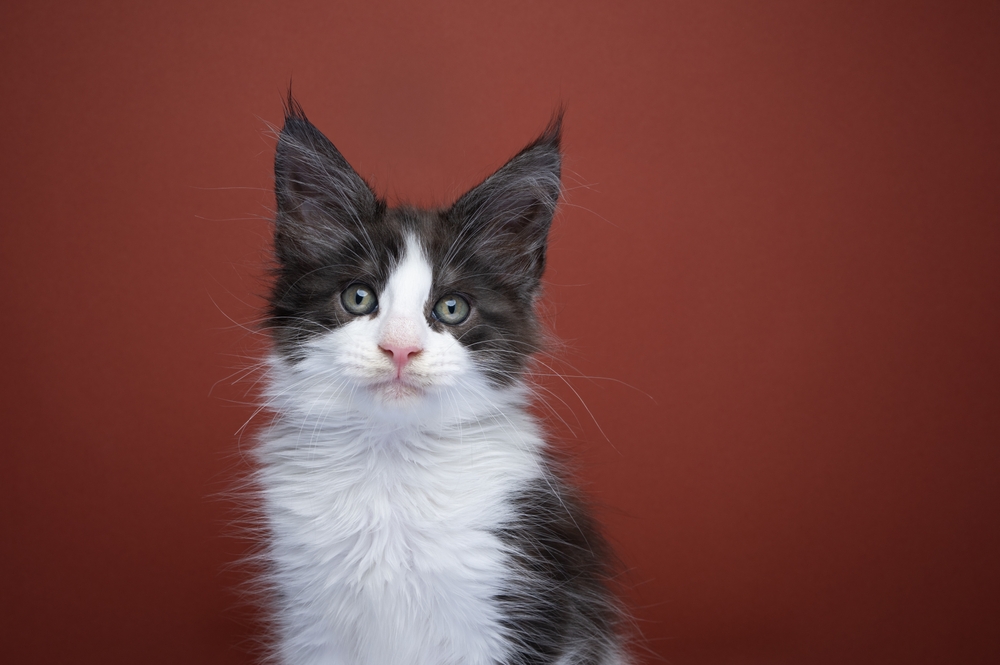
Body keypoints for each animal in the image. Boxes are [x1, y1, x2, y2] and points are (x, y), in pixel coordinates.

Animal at [254, 94, 624, 664]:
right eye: (358, 297)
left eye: (452, 308)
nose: (401, 348)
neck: (392, 462)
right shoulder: (310, 624)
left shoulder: (519, 599)